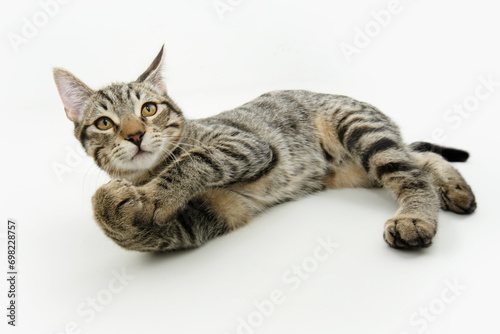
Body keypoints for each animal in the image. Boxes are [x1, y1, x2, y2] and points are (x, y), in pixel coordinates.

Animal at [51, 46, 476, 250]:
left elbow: (194, 161)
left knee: (410, 173)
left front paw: (156, 195)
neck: (149, 171)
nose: (136, 135)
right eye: (104, 123)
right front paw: (110, 208)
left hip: (359, 131)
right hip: (357, 169)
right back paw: (455, 189)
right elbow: (143, 232)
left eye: (149, 109)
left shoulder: (248, 145)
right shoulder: (216, 212)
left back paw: (417, 217)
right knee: (419, 157)